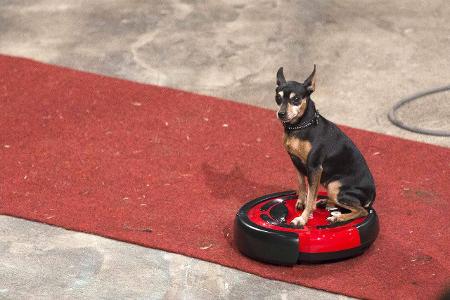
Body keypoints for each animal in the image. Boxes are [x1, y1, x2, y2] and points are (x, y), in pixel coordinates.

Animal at [276, 65, 374, 227]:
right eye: (278, 98)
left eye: (296, 99)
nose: (281, 114)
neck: (300, 127)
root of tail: (372, 196)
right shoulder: (297, 163)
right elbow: (303, 186)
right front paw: (302, 203)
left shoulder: (314, 167)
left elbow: (311, 195)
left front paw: (302, 218)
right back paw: (324, 203)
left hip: (335, 187)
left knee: (362, 211)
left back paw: (337, 218)